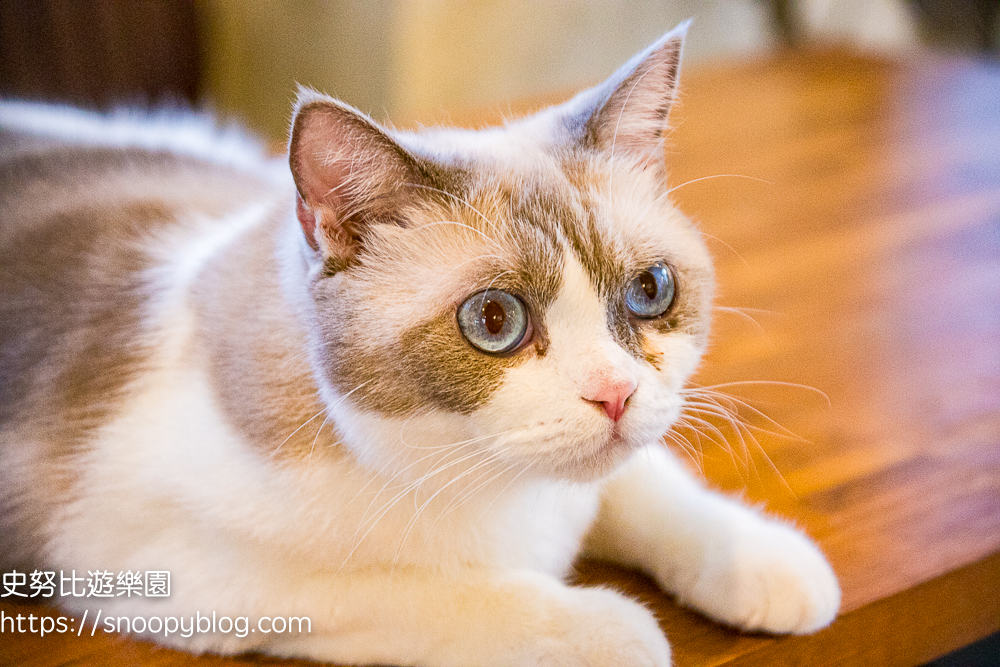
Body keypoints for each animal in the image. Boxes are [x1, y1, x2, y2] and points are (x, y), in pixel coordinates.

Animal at [0, 22, 840, 667]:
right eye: (494, 320)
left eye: (651, 290)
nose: (614, 393)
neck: (499, 486)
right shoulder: (178, 569)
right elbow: (445, 595)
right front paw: (613, 629)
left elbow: (648, 484)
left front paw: (767, 561)